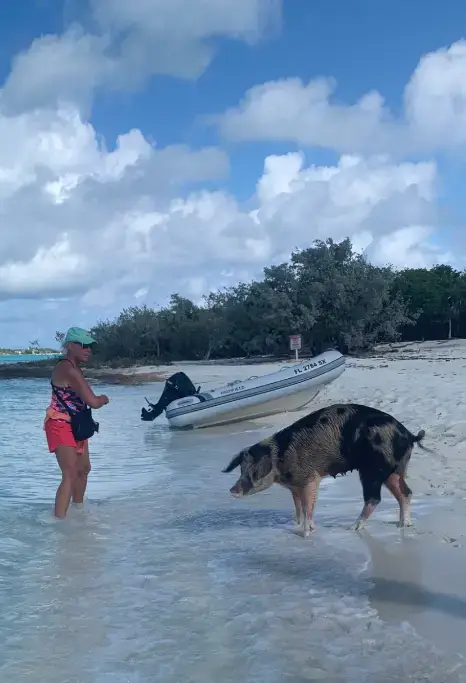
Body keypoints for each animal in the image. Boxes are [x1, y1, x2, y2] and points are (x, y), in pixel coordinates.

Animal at [222, 403, 428, 537]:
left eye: (253, 471)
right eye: (241, 468)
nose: (232, 489)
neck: (279, 458)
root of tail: (408, 435)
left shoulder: (310, 478)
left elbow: (308, 506)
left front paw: (306, 533)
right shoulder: (295, 486)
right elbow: (299, 507)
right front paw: (297, 526)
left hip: (372, 470)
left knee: (374, 498)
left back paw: (353, 528)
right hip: (395, 470)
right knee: (405, 493)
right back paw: (403, 525)